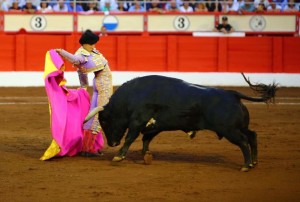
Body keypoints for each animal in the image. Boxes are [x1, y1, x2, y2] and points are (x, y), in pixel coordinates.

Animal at [84, 73, 276, 171]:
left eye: (104, 121)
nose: (111, 143)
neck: (130, 97)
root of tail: (233, 94)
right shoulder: (154, 126)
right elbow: (146, 139)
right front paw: (146, 156)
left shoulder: (138, 121)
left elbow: (131, 138)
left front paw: (119, 156)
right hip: (240, 127)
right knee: (252, 135)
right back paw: (254, 162)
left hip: (229, 130)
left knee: (243, 141)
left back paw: (246, 165)